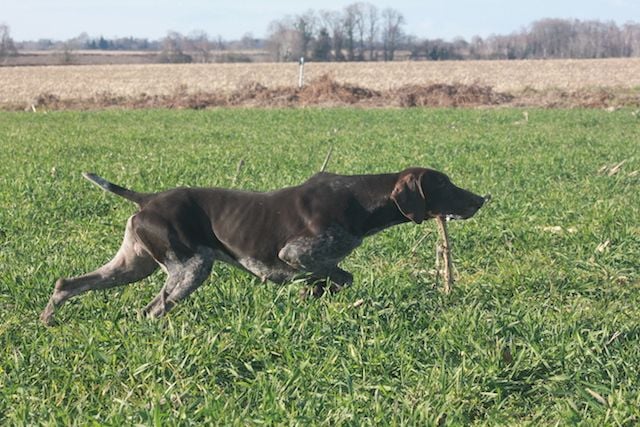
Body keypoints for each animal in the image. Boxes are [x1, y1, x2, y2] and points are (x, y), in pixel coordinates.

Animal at [40, 167, 484, 324]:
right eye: (444, 183)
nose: (482, 199)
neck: (359, 199)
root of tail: (147, 199)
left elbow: (331, 280)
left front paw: (313, 297)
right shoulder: (298, 254)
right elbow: (339, 273)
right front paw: (313, 293)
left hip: (132, 265)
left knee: (67, 284)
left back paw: (47, 319)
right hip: (190, 269)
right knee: (152, 309)